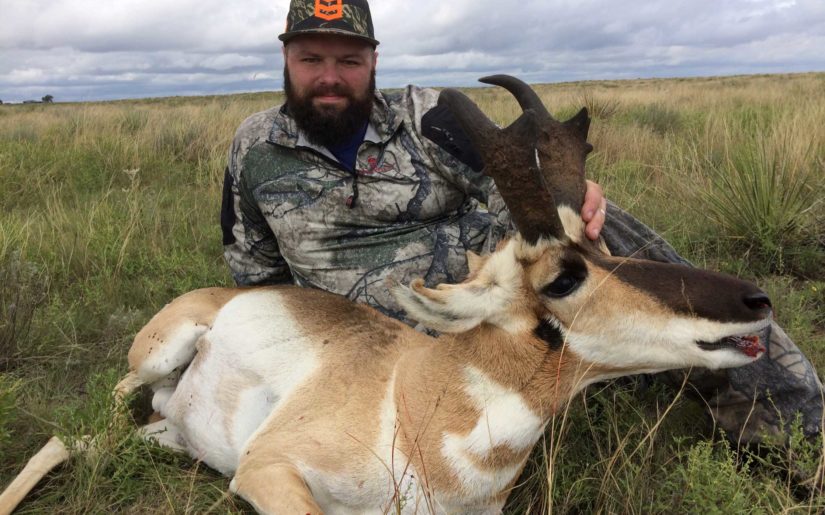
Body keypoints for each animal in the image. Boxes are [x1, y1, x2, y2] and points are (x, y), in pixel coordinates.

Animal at [1, 76, 772, 515]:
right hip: (157, 358)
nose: (755, 303)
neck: (414, 399)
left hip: (166, 433)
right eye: (563, 278)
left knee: (87, 441)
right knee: (71, 431)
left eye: (603, 242)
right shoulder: (267, 470)